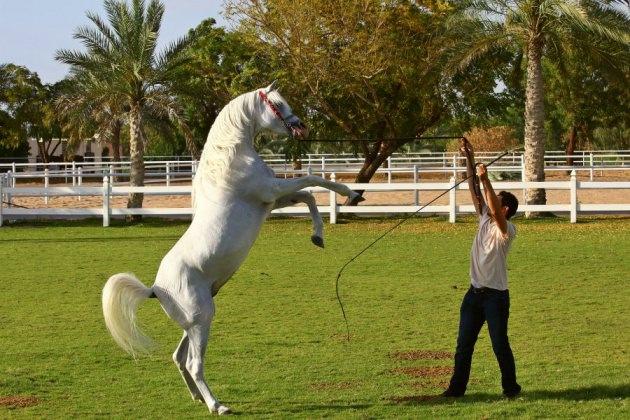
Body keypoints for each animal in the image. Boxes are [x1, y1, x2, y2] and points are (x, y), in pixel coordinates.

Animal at [102, 83, 362, 416]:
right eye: (278, 104)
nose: (301, 127)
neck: (232, 159)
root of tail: (155, 289)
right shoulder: (272, 191)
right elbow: (312, 180)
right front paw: (351, 193)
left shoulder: (272, 200)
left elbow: (308, 196)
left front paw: (318, 236)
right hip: (202, 320)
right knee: (194, 363)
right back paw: (217, 405)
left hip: (193, 322)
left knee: (178, 358)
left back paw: (198, 398)